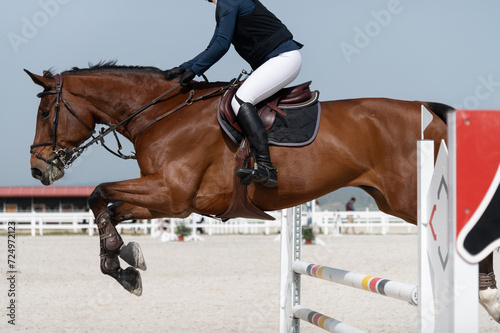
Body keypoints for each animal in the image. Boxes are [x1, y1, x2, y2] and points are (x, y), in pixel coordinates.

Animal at [25, 62, 500, 322]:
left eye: (46, 111)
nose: (38, 168)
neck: (162, 115)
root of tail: (432, 113)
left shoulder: (173, 194)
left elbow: (98, 194)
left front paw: (122, 261)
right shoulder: (166, 199)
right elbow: (107, 206)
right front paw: (124, 263)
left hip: (411, 197)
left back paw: (486, 294)